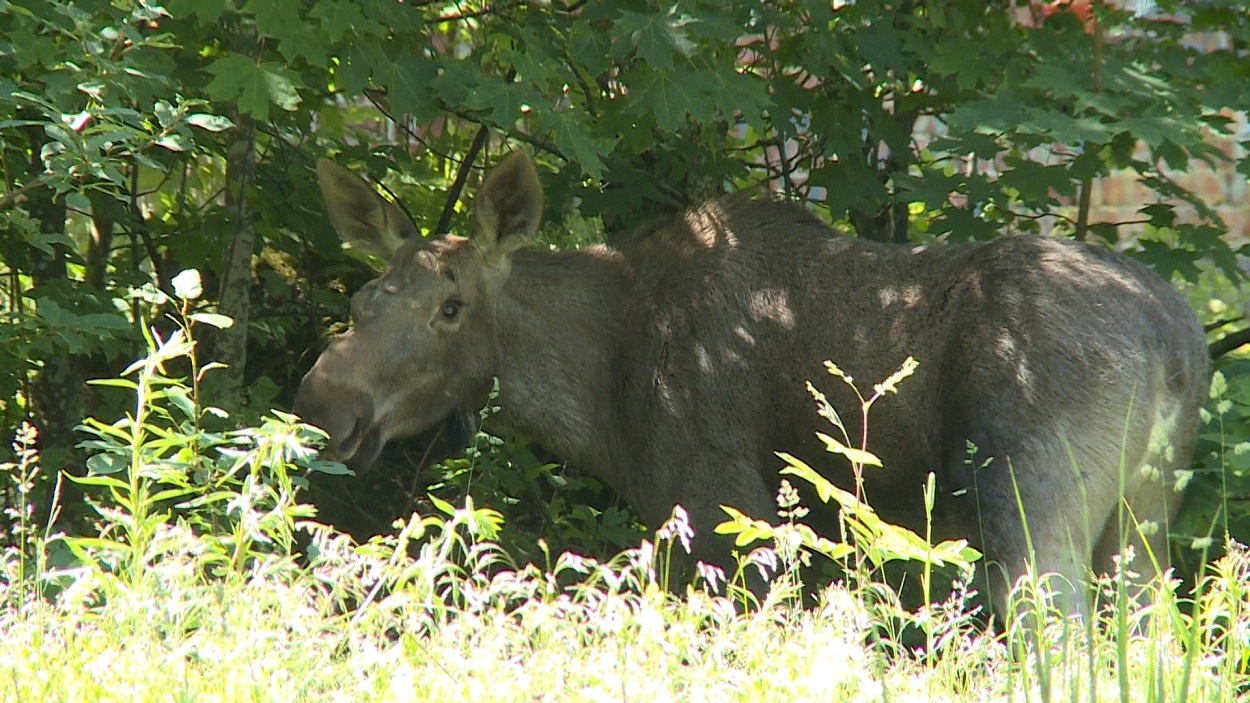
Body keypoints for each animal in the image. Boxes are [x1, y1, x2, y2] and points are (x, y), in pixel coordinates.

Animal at [295, 151, 1210, 612]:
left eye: (451, 307)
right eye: (363, 296)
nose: (323, 401)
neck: (599, 394)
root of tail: (1177, 342)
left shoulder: (721, 502)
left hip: (1031, 508)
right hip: (1144, 520)